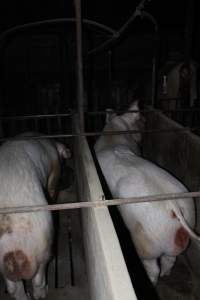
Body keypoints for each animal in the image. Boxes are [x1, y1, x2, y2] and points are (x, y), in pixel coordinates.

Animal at [0, 135, 69, 300]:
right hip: (43, 247)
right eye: (64, 162)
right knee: (38, 277)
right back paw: (42, 294)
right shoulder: (54, 169)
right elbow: (52, 188)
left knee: (13, 288)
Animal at [94, 101, 200, 284]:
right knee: (170, 259)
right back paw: (166, 274)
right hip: (185, 220)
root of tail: (172, 204)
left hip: (147, 238)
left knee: (153, 266)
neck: (112, 138)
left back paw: (152, 280)